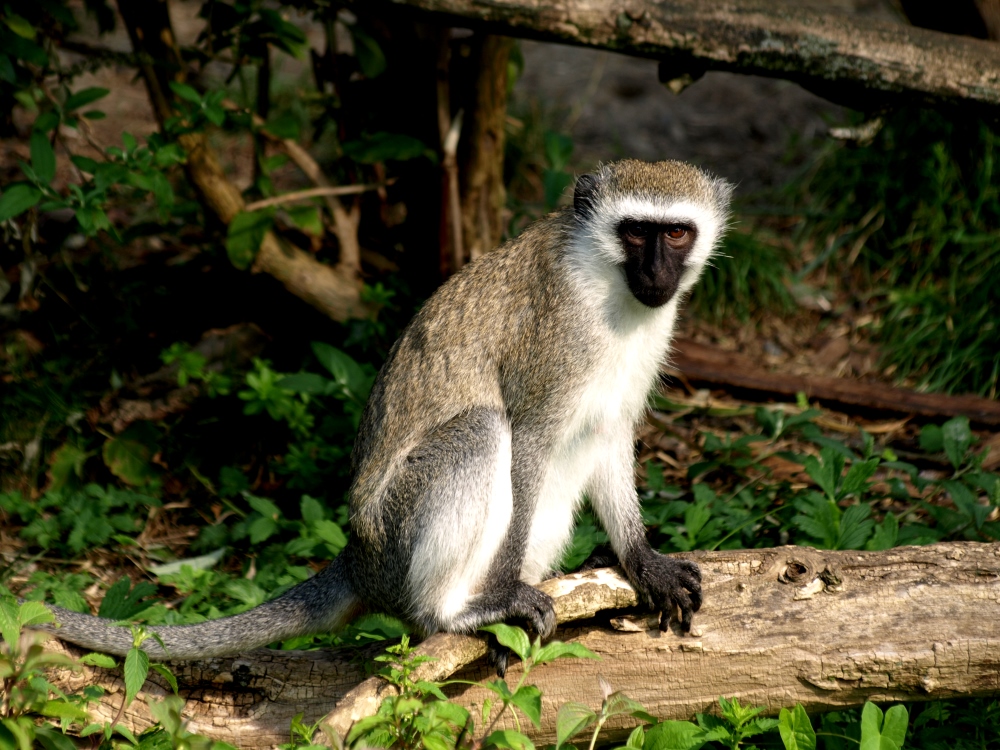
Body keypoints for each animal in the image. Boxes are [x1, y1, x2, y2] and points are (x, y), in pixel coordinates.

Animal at [39, 160, 736, 676]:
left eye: (675, 233)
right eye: (635, 232)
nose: (656, 273)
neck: (609, 285)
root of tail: (358, 561)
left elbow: (609, 434)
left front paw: (642, 558)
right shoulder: (558, 338)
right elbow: (530, 439)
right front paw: (509, 592)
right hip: (395, 538)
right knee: (481, 434)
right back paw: (456, 612)